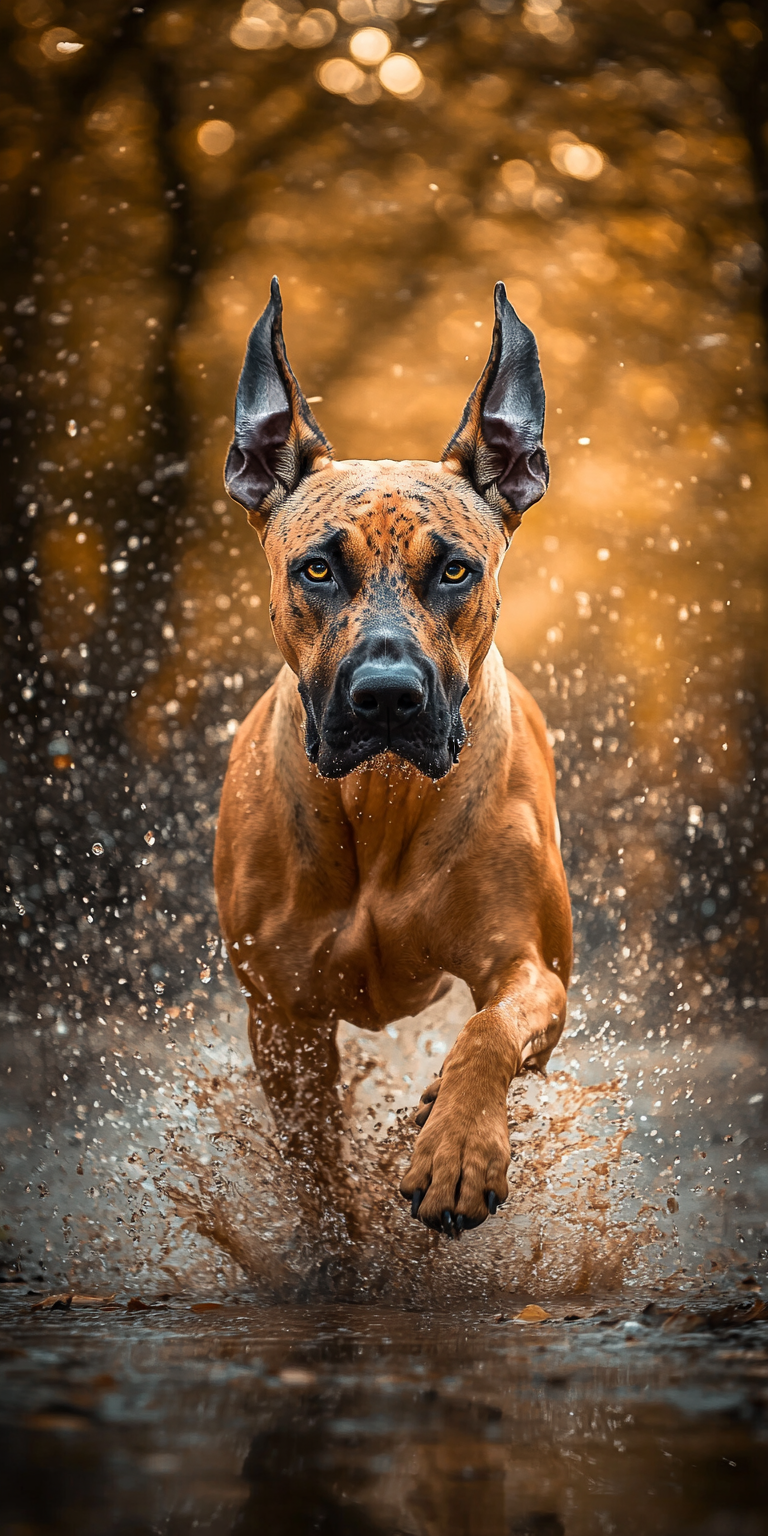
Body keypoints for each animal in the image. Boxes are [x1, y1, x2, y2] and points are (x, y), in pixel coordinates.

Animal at [215, 276, 571, 1234]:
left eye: (454, 571)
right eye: (316, 570)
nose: (385, 697)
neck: (381, 799)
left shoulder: (534, 970)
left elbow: (489, 1033)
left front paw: (456, 1150)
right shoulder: (284, 1020)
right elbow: (315, 1170)